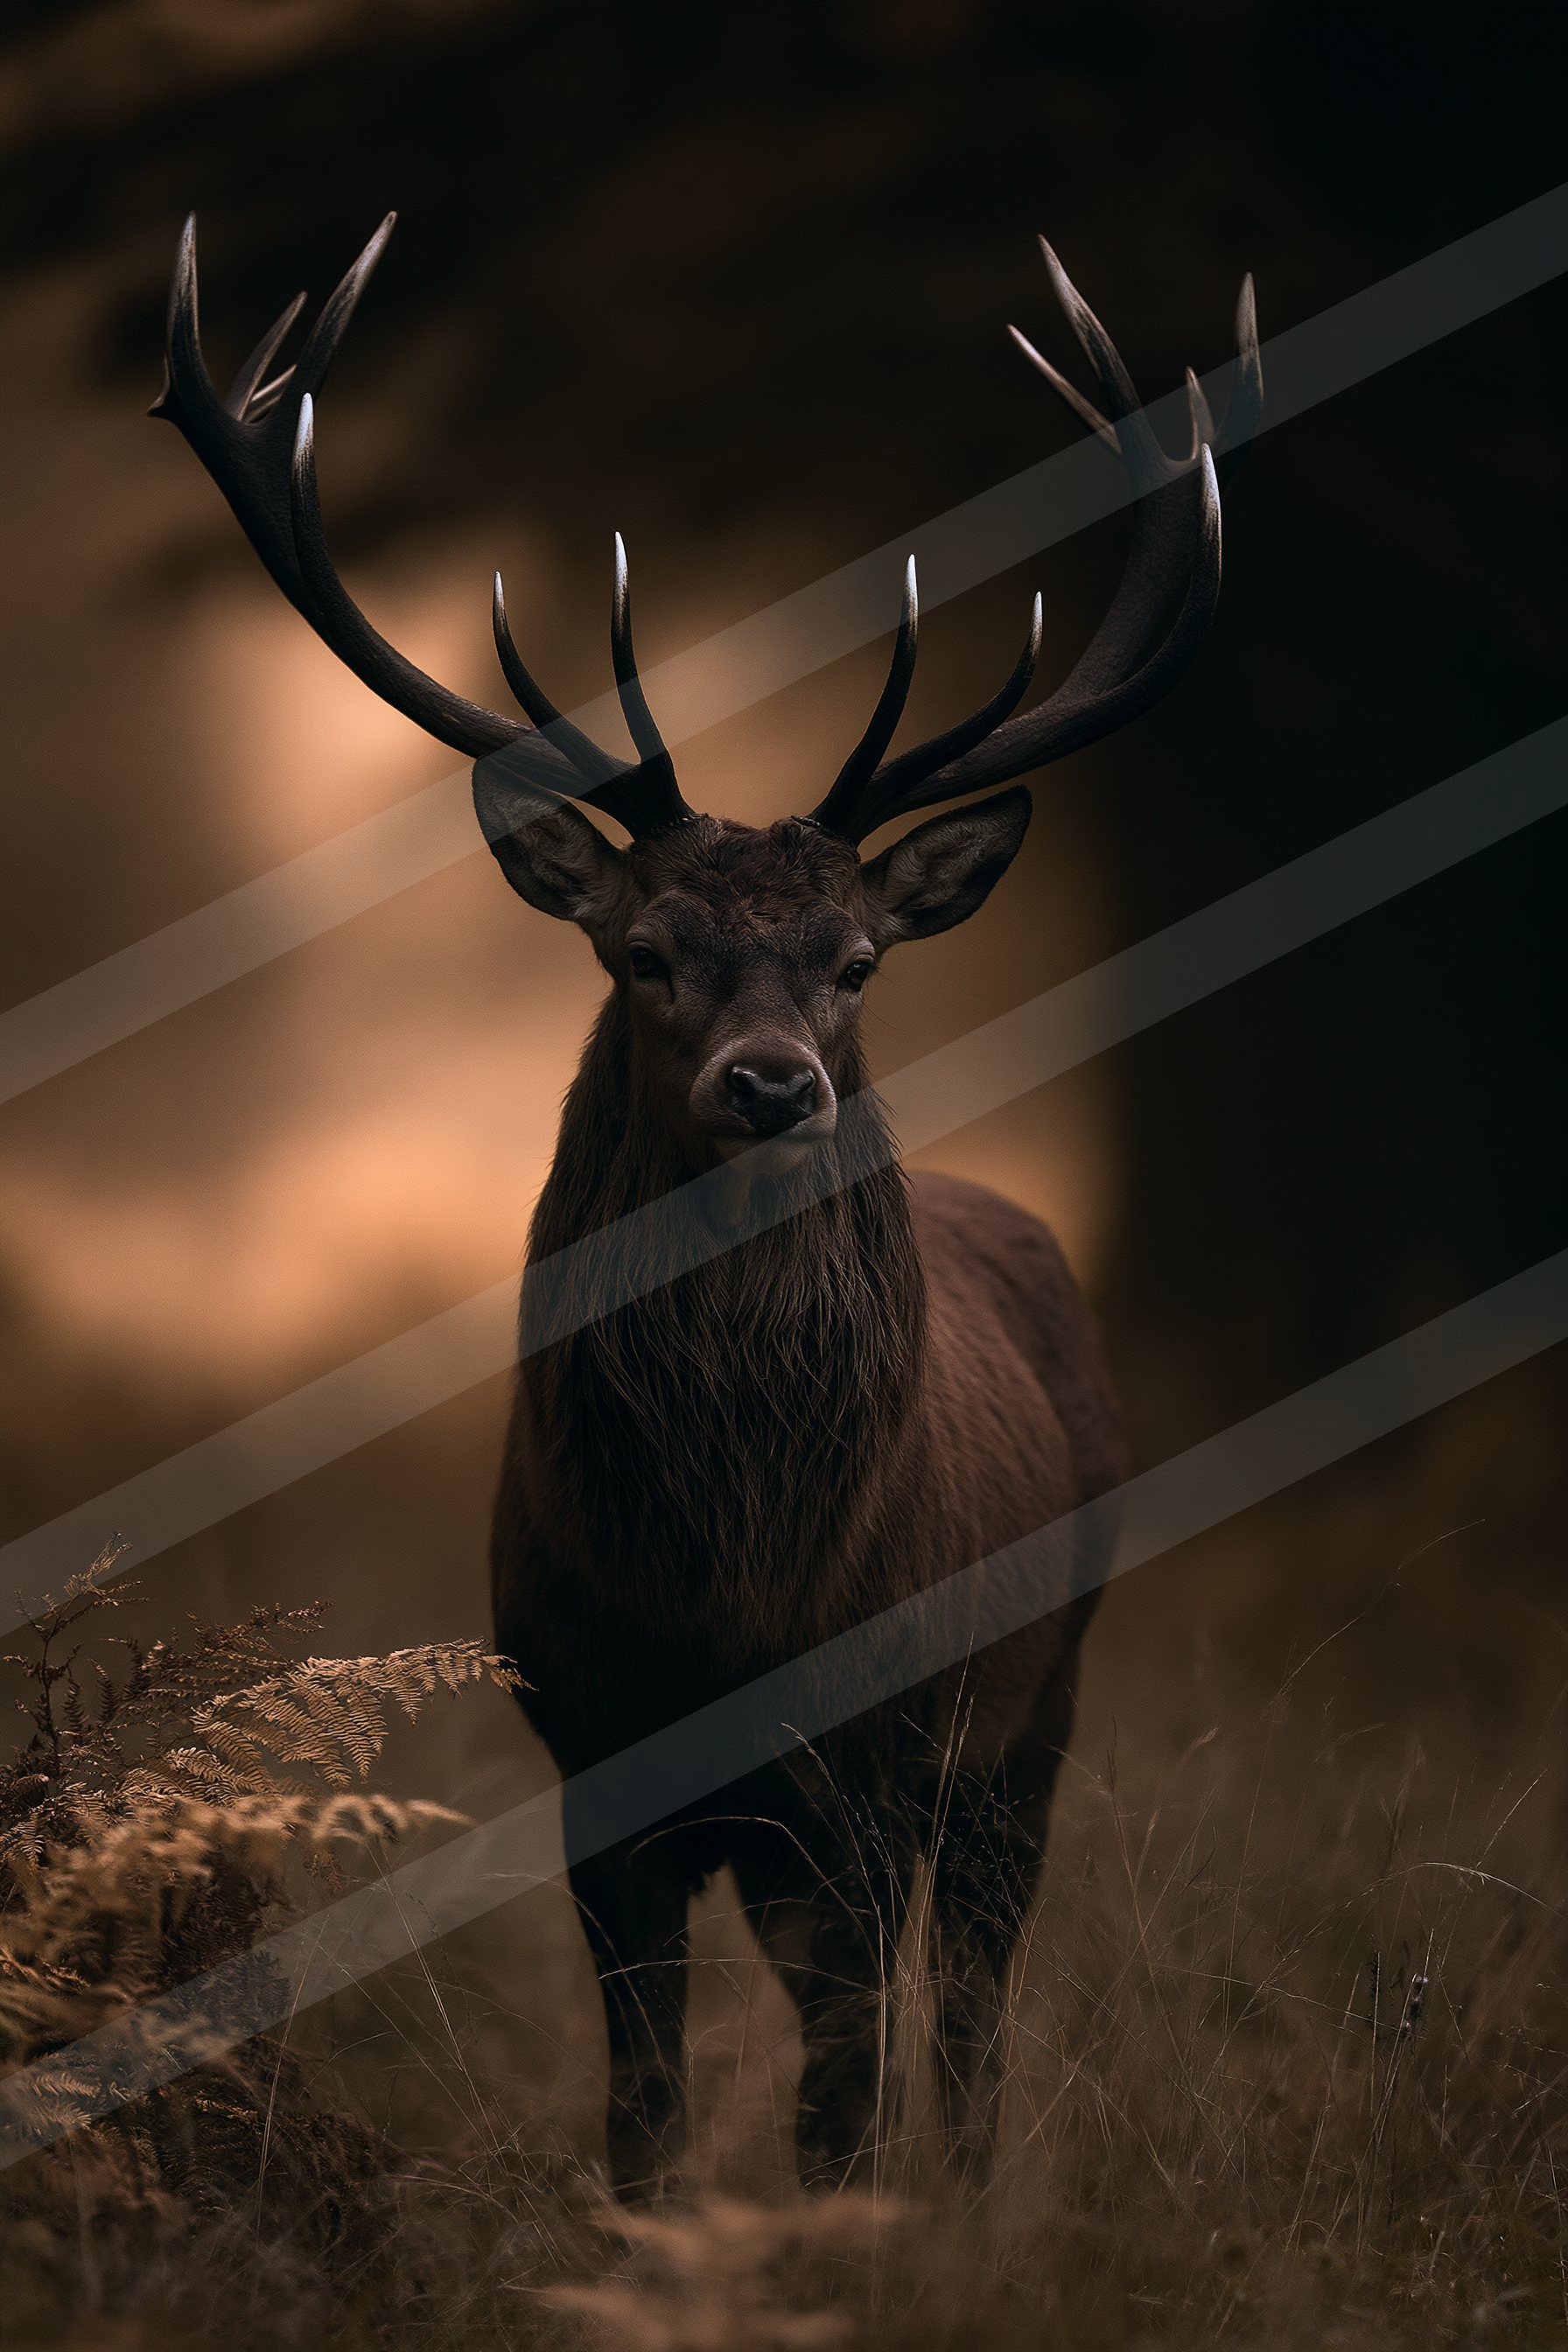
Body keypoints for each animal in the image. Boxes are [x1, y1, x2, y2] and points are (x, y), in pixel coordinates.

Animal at [153, 212, 1259, 2196]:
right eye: (645, 947)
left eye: (856, 960)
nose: (772, 1085)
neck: (733, 1596)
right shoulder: (593, 1756)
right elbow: (648, 2107)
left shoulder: (880, 1762)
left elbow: (840, 2102)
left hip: (1039, 1705)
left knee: (969, 2014)